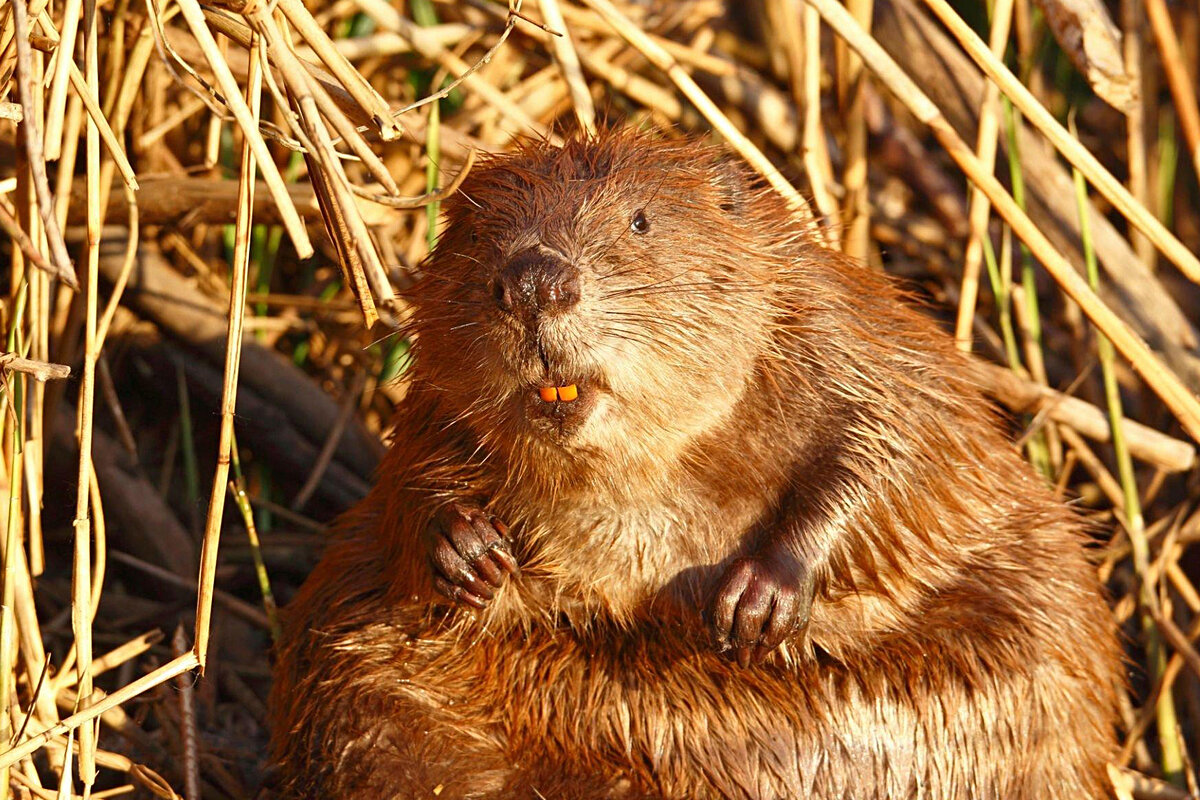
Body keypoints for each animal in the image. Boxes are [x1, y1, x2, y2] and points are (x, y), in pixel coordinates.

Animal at [270, 128, 1123, 796]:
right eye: (480, 233)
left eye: (640, 220)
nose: (536, 281)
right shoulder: (428, 408)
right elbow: (406, 482)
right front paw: (467, 550)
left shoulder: (833, 330)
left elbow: (888, 442)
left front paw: (758, 602)